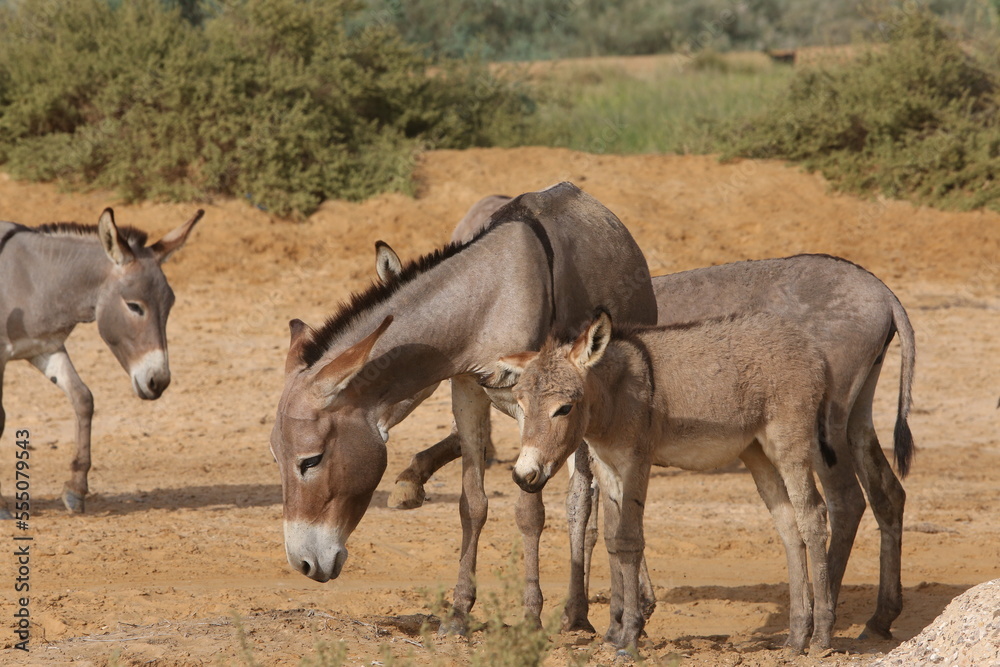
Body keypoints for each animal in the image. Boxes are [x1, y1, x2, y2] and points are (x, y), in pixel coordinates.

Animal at [500, 312, 836, 652]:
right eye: (521, 406)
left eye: (564, 408)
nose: (524, 475)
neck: (615, 395)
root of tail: (811, 347)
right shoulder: (606, 467)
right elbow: (613, 539)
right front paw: (614, 632)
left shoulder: (636, 462)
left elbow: (630, 540)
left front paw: (629, 636)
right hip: (757, 452)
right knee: (788, 525)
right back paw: (796, 637)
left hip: (790, 447)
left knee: (812, 518)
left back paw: (820, 636)